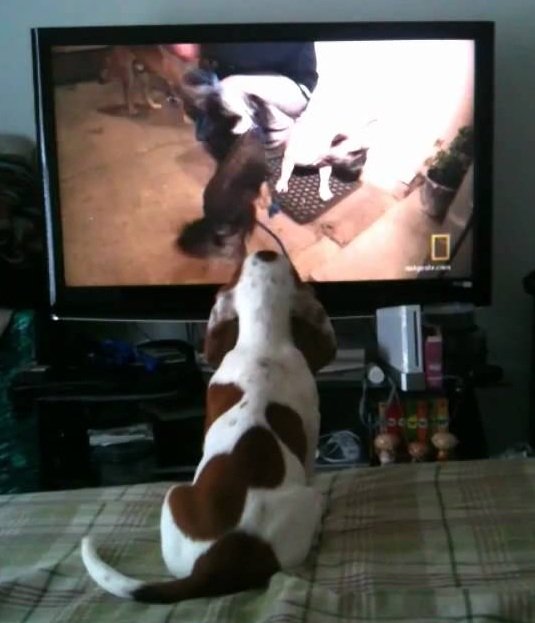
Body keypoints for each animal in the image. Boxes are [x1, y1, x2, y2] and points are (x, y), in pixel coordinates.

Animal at [81, 249, 338, 604]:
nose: (265, 250)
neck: (262, 340)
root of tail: (221, 560)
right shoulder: (312, 428)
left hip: (175, 497)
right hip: (300, 499)